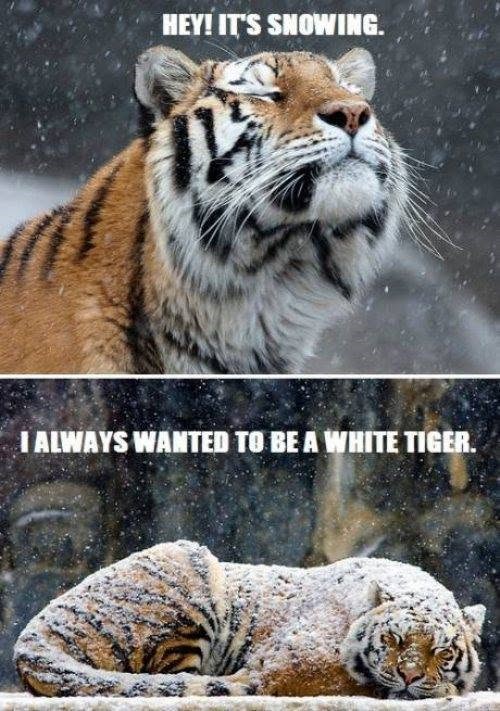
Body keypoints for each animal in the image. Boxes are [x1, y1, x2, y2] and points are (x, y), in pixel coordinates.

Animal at [14, 540, 485, 699]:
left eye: (442, 651)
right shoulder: (289, 664)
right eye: (392, 641)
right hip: (190, 570)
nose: (408, 676)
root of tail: (32, 633)